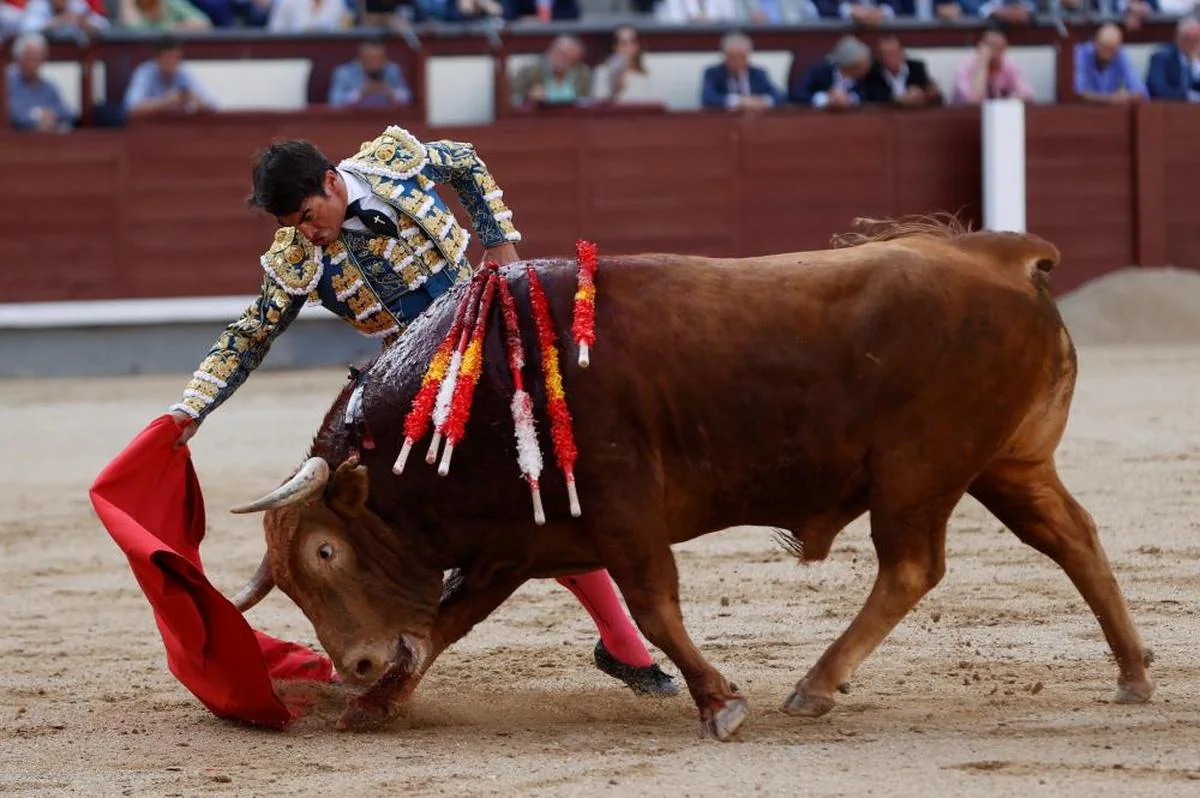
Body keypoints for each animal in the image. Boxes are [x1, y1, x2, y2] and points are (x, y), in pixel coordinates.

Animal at [223, 216, 1152, 739]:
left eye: (327, 554)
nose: (357, 663)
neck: (473, 388)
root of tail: (1004, 256)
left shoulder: (624, 516)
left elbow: (655, 608)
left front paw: (718, 702)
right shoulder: (515, 545)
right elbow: (449, 622)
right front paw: (375, 708)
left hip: (918, 472)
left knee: (913, 566)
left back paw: (814, 687)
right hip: (1008, 462)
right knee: (1070, 537)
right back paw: (1134, 672)